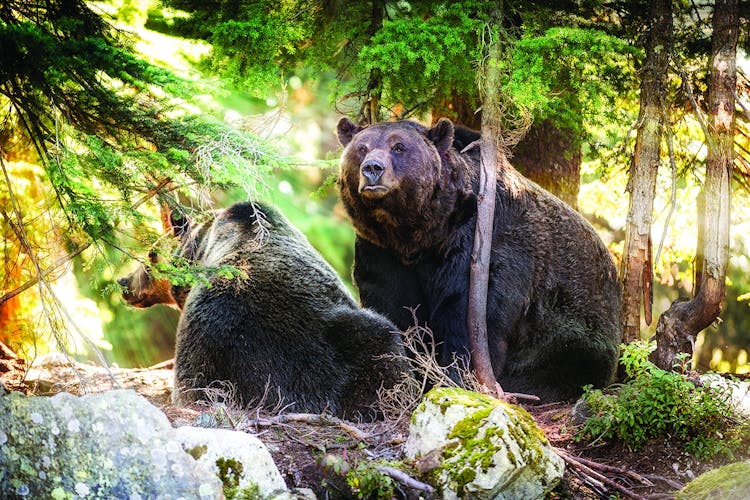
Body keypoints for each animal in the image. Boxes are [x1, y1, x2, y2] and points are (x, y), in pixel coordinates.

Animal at [340, 117, 624, 402]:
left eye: (398, 146)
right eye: (362, 148)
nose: (372, 168)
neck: (420, 234)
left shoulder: (479, 243)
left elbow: (468, 313)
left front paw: (457, 376)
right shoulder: (382, 251)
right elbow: (392, 307)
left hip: (574, 322)